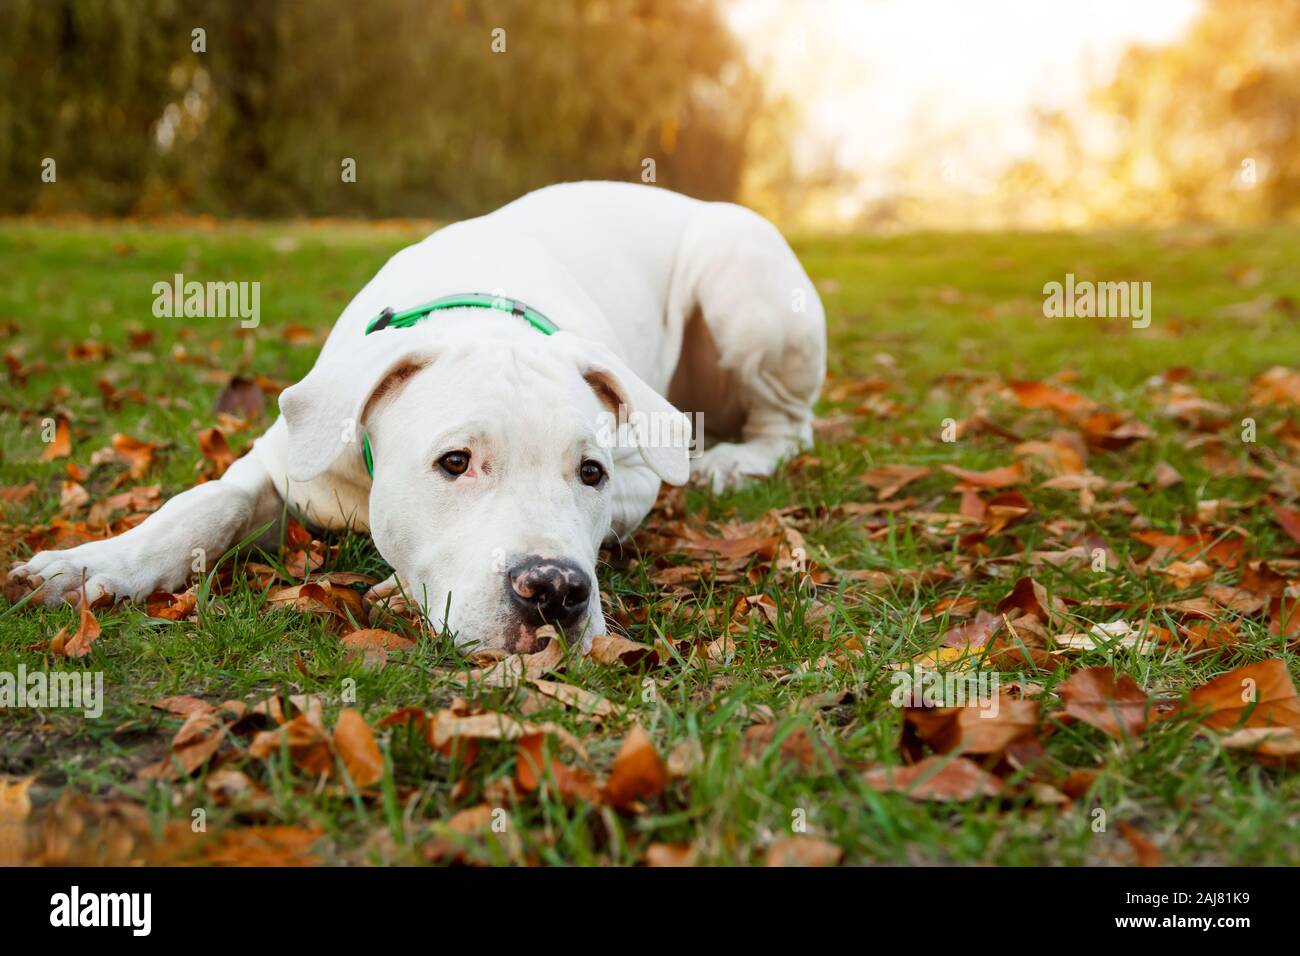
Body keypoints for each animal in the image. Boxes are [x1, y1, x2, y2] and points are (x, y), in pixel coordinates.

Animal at [10, 183, 821, 655]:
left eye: (589, 472)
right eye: (454, 463)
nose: (556, 591)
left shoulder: (637, 477)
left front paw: (398, 590)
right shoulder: (278, 461)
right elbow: (201, 508)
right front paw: (91, 565)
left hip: (744, 288)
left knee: (789, 426)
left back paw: (734, 462)